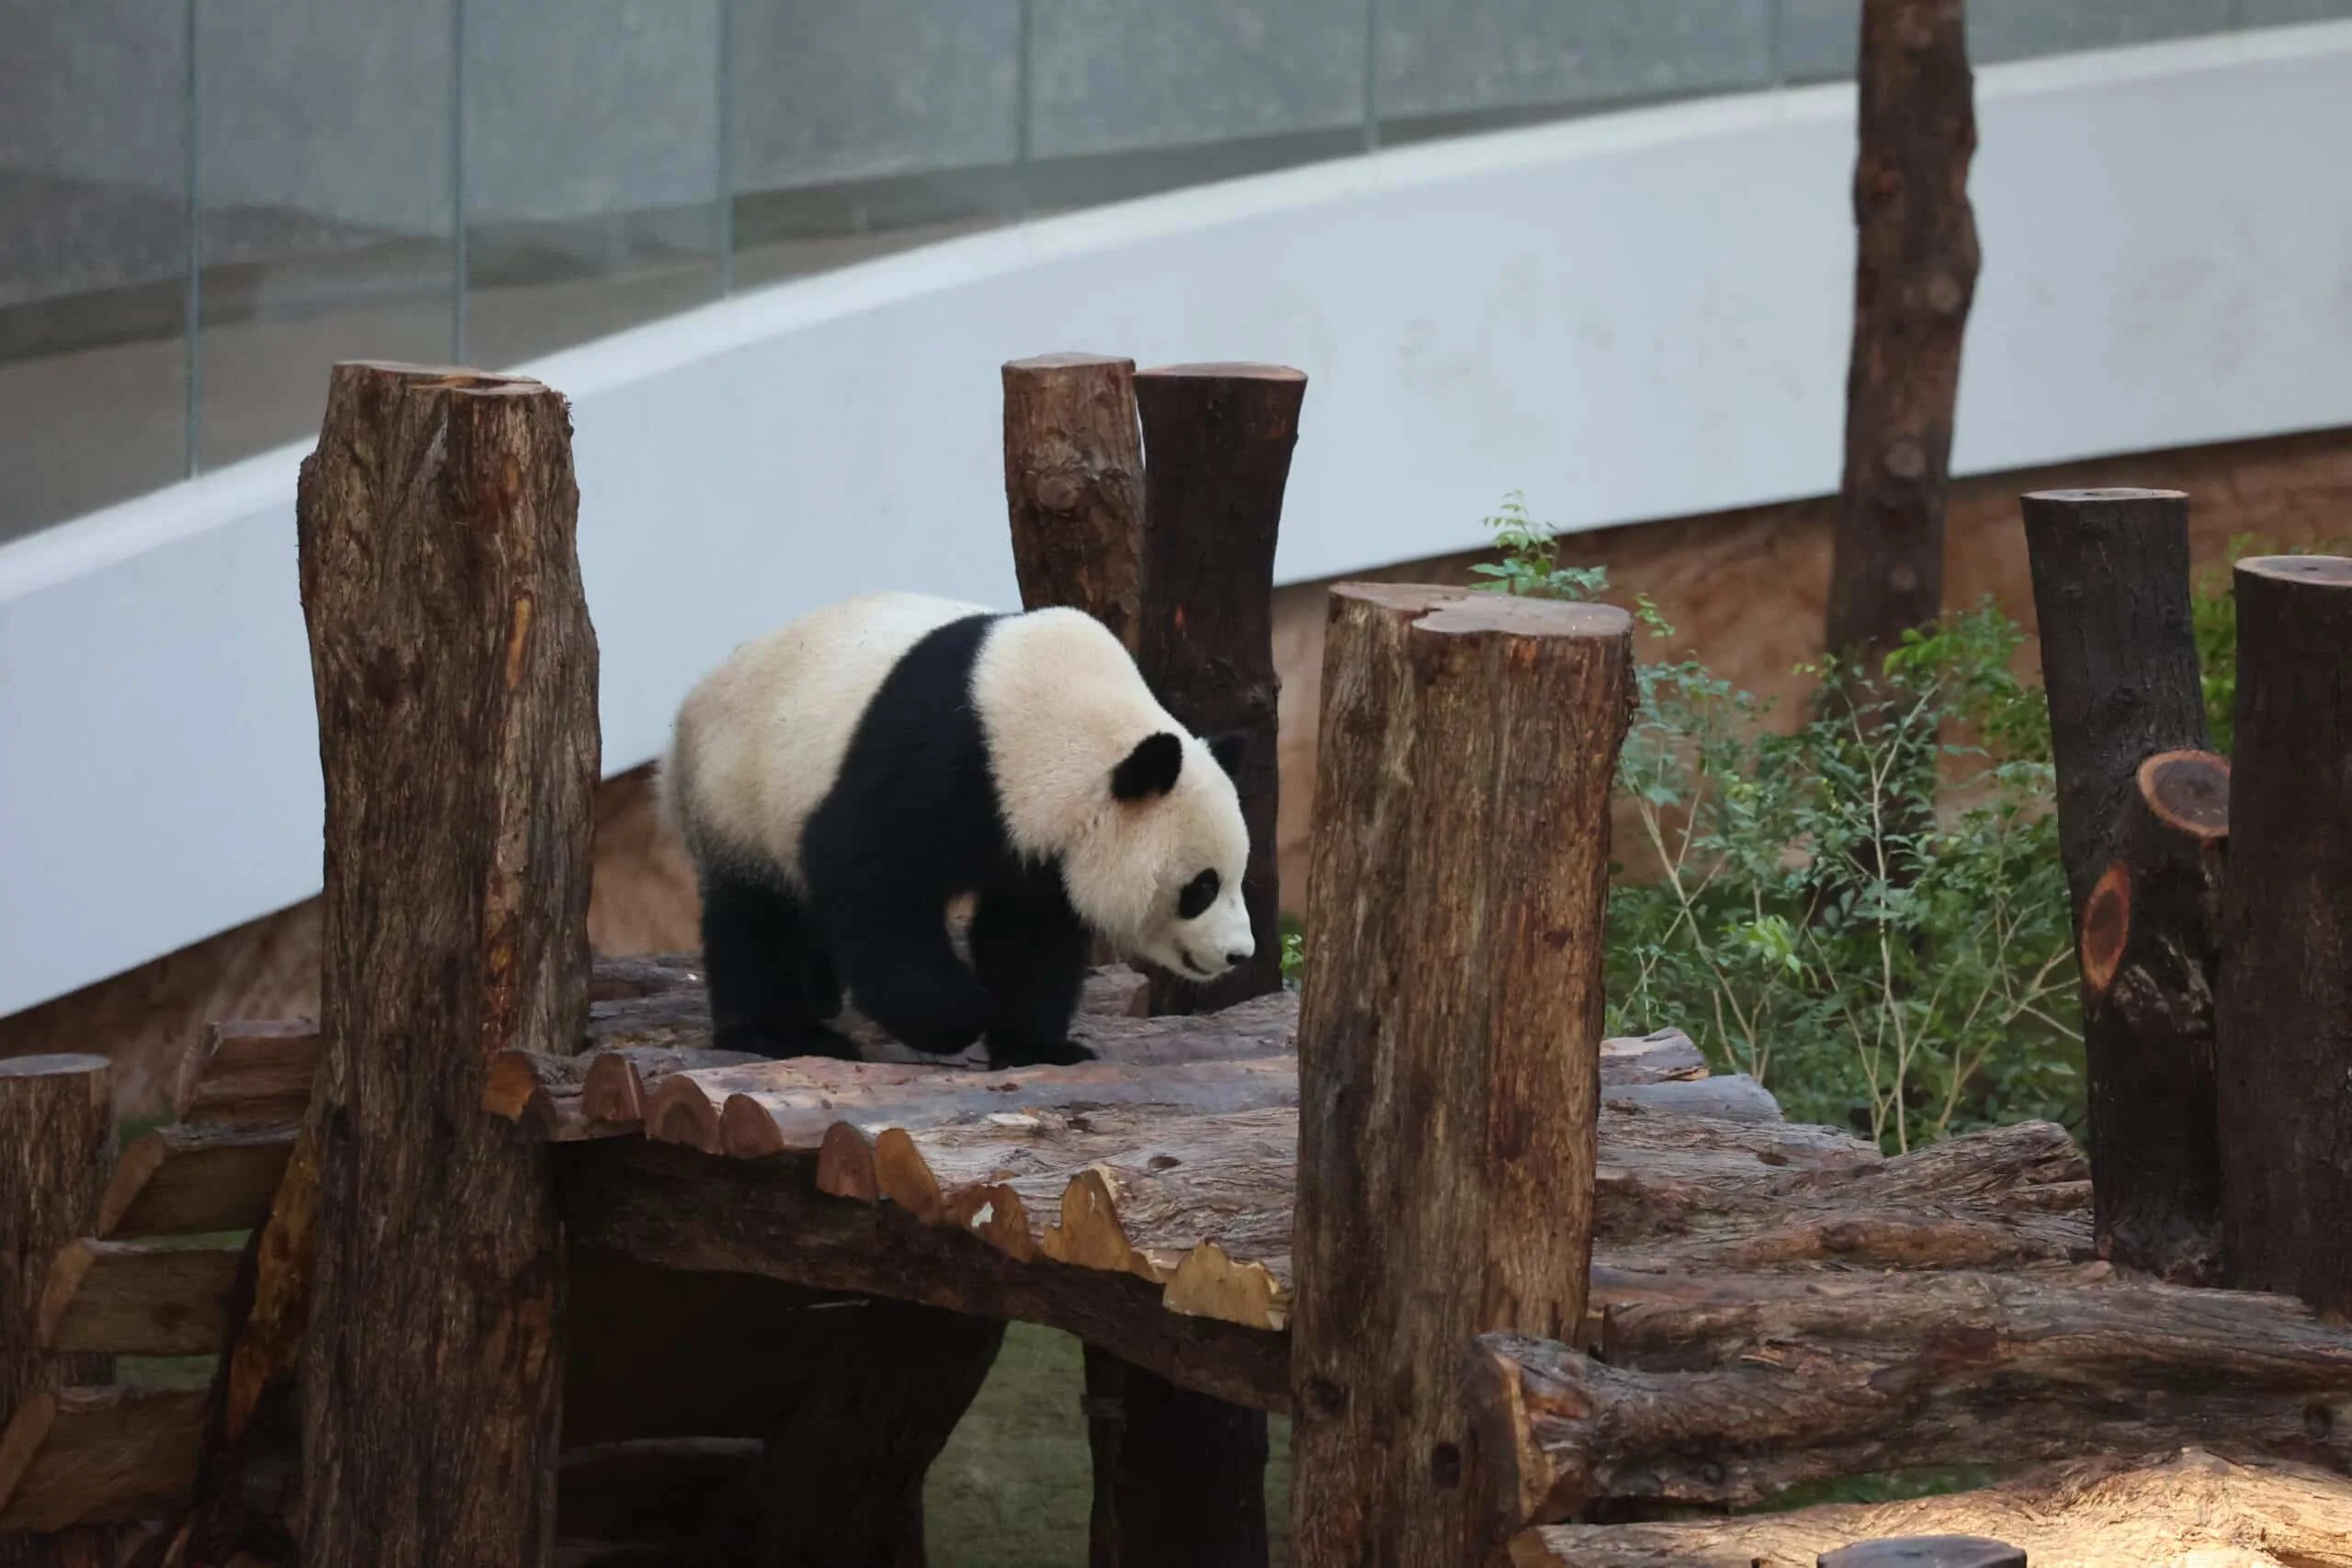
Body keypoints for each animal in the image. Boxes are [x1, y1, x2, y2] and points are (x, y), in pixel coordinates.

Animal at [656, 590, 1256, 1070]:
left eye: (1235, 877)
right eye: (1202, 887)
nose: (1239, 955)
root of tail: (691, 702)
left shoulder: (1034, 839)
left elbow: (1028, 936)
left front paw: (1037, 1047)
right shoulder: (943, 759)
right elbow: (870, 882)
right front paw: (962, 1014)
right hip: (738, 789)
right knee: (756, 916)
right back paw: (783, 1032)